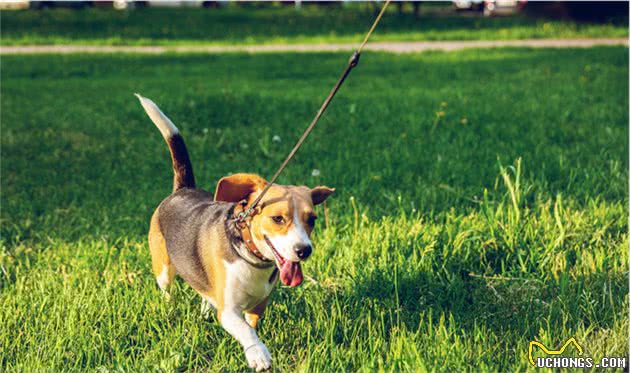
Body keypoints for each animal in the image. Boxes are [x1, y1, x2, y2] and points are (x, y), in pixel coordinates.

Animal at [136, 93, 336, 370]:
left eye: (312, 219)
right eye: (277, 218)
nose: (303, 250)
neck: (251, 256)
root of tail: (183, 189)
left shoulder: (258, 304)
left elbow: (251, 324)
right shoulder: (229, 310)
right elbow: (245, 330)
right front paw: (258, 354)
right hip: (163, 269)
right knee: (167, 290)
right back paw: (170, 308)